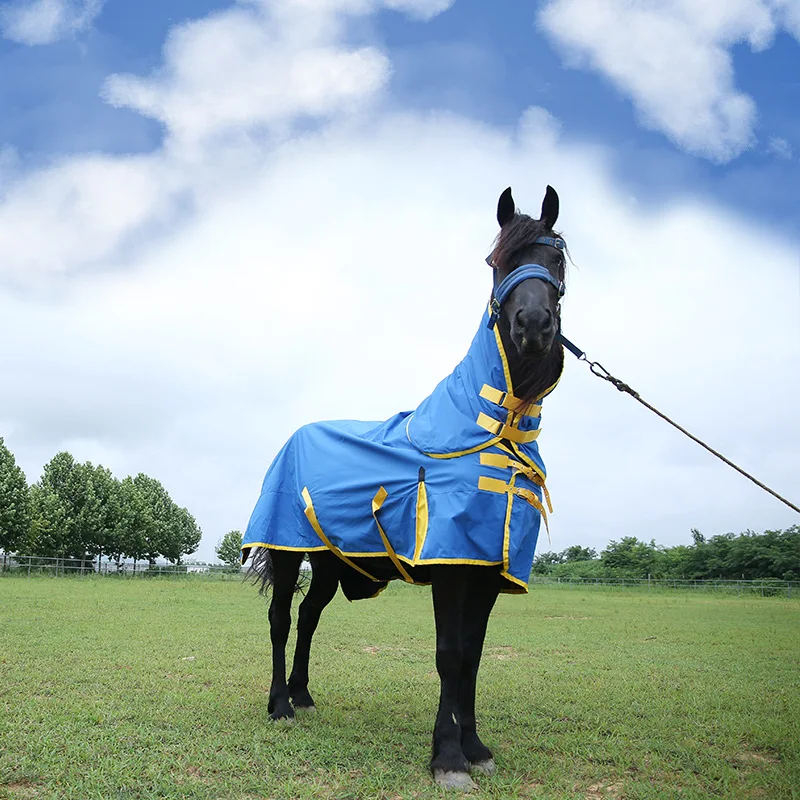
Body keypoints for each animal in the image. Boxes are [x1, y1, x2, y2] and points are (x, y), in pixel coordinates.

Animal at [242, 185, 567, 790]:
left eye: (556, 258)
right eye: (496, 262)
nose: (533, 324)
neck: (491, 430)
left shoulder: (486, 570)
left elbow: (474, 655)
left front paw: (475, 746)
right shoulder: (451, 566)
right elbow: (450, 654)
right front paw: (449, 758)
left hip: (330, 562)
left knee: (311, 616)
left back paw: (302, 694)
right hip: (286, 551)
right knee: (281, 618)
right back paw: (279, 704)